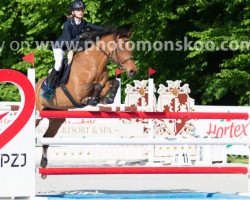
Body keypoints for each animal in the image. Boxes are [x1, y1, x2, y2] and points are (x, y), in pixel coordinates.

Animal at [35, 28, 138, 168]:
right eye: (121, 48)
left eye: (131, 47)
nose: (133, 71)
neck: (94, 63)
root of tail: (36, 85)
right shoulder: (78, 91)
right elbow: (96, 86)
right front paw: (90, 100)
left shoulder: (103, 84)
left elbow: (112, 83)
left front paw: (105, 99)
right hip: (37, 115)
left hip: (57, 119)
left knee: (46, 138)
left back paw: (43, 164)